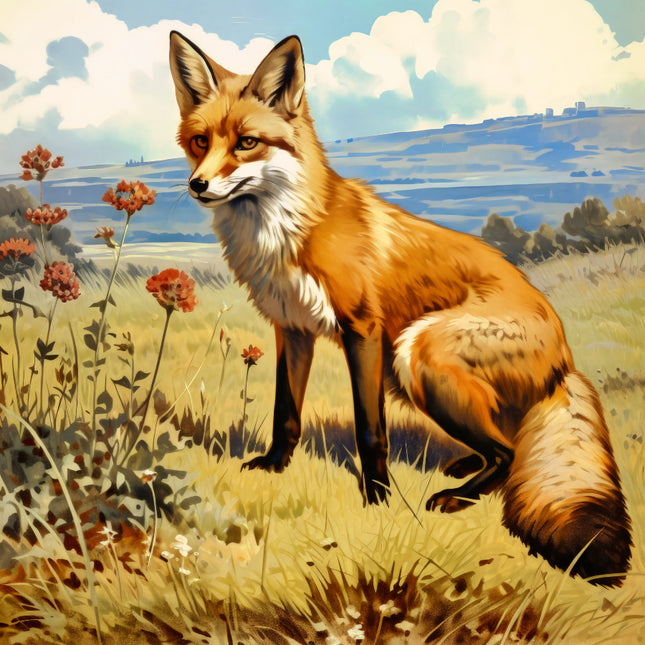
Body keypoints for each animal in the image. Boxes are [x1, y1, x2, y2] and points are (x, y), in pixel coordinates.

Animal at [169, 31, 632, 586]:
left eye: (246, 143)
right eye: (201, 142)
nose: (197, 185)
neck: (288, 233)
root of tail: (566, 360)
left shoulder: (361, 329)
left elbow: (370, 431)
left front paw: (377, 498)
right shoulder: (292, 328)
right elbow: (286, 413)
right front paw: (275, 467)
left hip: (416, 354)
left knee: (508, 451)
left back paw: (457, 495)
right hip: (409, 368)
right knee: (506, 440)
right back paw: (464, 467)